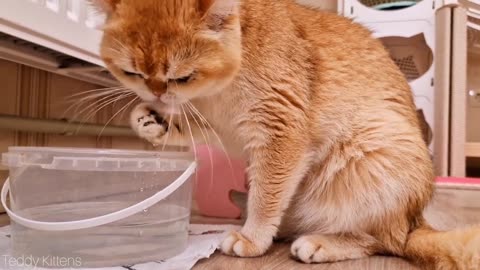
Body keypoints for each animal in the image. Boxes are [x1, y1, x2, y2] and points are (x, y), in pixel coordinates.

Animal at [91, 0, 480, 268]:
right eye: (132, 73)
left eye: (182, 76)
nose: (156, 93)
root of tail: (415, 221)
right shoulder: (220, 126)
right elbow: (192, 127)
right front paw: (151, 120)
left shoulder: (281, 133)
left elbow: (267, 196)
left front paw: (253, 237)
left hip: (372, 152)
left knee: (385, 241)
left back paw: (320, 243)